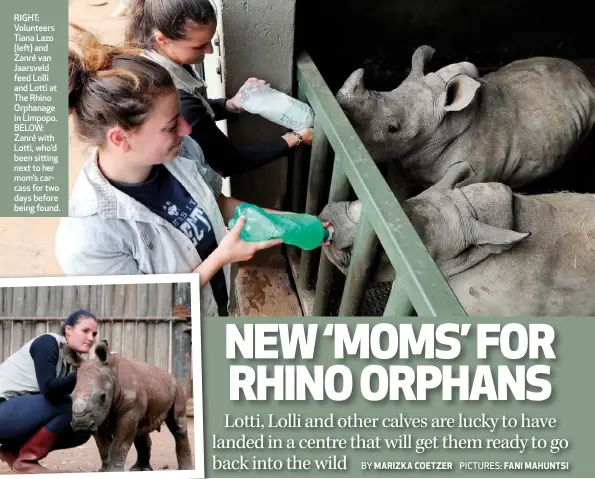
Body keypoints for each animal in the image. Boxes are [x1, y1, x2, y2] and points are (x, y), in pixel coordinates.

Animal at [62, 342, 193, 472]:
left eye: (103, 396)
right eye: (70, 397)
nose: (81, 425)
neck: (111, 373)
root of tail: (170, 375)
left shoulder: (128, 411)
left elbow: (119, 443)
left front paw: (113, 471)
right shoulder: (97, 415)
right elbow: (103, 445)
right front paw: (103, 470)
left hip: (177, 388)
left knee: (178, 426)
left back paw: (185, 469)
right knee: (140, 431)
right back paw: (139, 469)